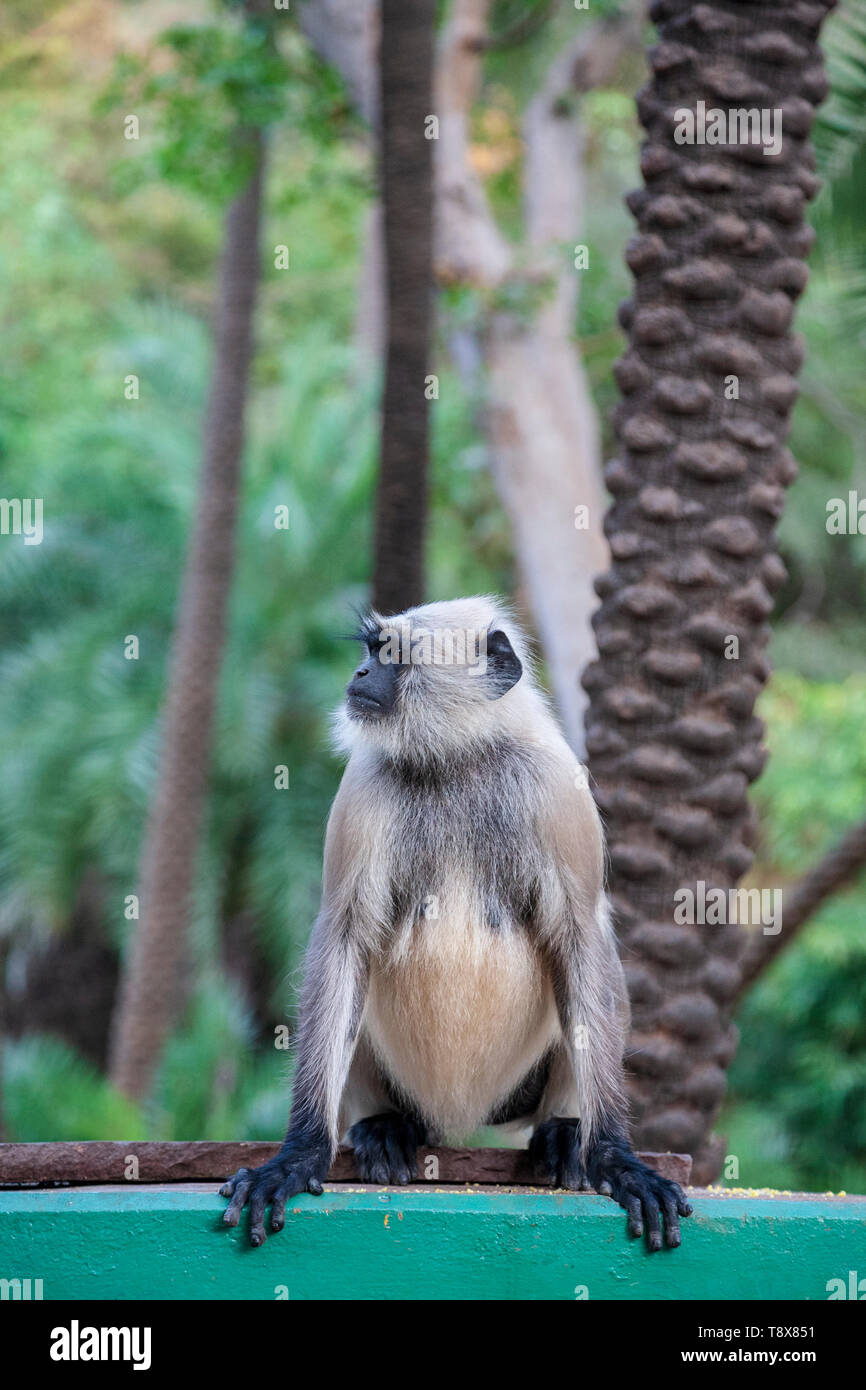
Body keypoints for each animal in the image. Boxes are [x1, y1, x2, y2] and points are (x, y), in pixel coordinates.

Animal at [222, 597, 692, 1251]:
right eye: (371, 652)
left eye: (390, 656)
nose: (360, 675)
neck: (457, 759)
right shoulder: (363, 787)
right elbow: (343, 940)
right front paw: (298, 1155)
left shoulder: (558, 789)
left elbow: (581, 939)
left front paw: (616, 1159)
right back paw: (383, 1126)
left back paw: (566, 1130)